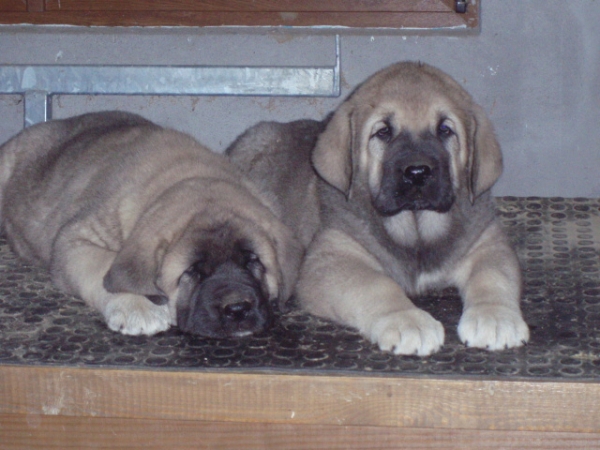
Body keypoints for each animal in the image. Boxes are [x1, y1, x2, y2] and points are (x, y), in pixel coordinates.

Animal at [0, 111, 300, 338]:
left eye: (253, 261)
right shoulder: (75, 239)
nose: (237, 309)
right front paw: (139, 307)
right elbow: (104, 269)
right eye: (192, 271)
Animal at [227, 61, 528, 356]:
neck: (416, 230)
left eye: (445, 130)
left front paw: (496, 317)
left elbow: (492, 276)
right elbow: (377, 286)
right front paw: (407, 321)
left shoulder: (487, 242)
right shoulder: (331, 258)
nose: (417, 172)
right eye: (383, 132)